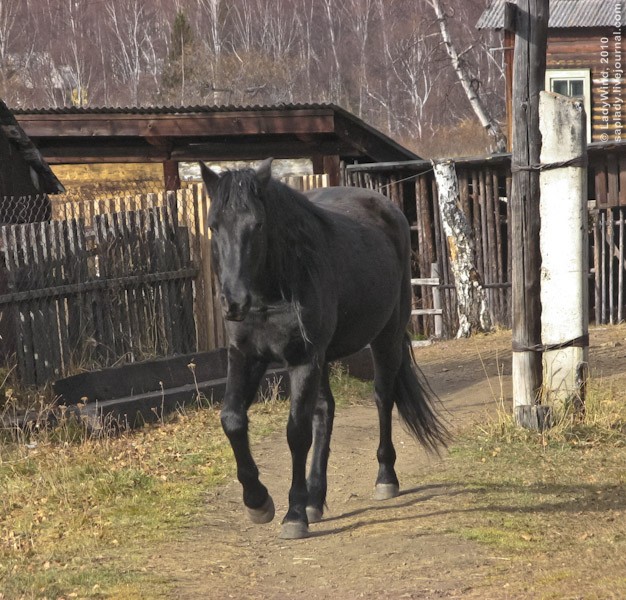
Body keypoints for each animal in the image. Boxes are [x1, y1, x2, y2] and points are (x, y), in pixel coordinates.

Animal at [200, 159, 444, 540]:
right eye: (213, 225)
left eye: (258, 224)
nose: (233, 302)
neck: (273, 290)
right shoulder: (246, 356)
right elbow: (233, 420)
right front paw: (258, 501)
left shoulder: (304, 360)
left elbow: (296, 432)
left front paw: (293, 514)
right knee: (325, 410)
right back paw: (315, 497)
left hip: (386, 338)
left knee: (382, 397)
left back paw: (384, 479)